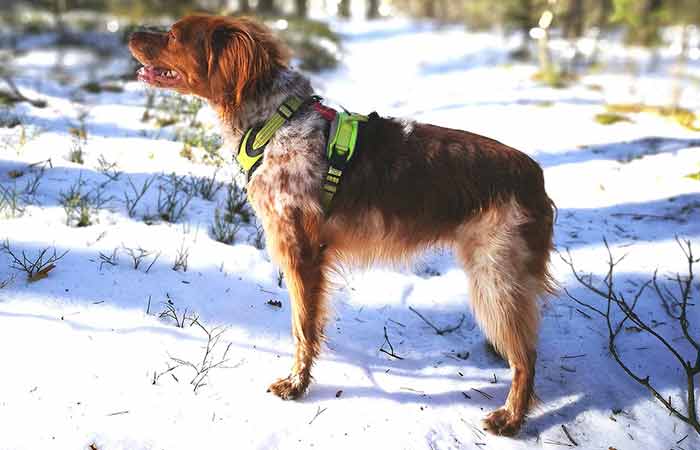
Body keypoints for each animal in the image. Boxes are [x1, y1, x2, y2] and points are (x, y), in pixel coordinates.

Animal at [129, 14, 556, 436]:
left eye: (174, 35)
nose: (131, 33)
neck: (272, 125)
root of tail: (534, 174)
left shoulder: (302, 254)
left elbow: (302, 328)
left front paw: (296, 385)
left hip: (496, 279)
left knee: (528, 356)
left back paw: (511, 418)